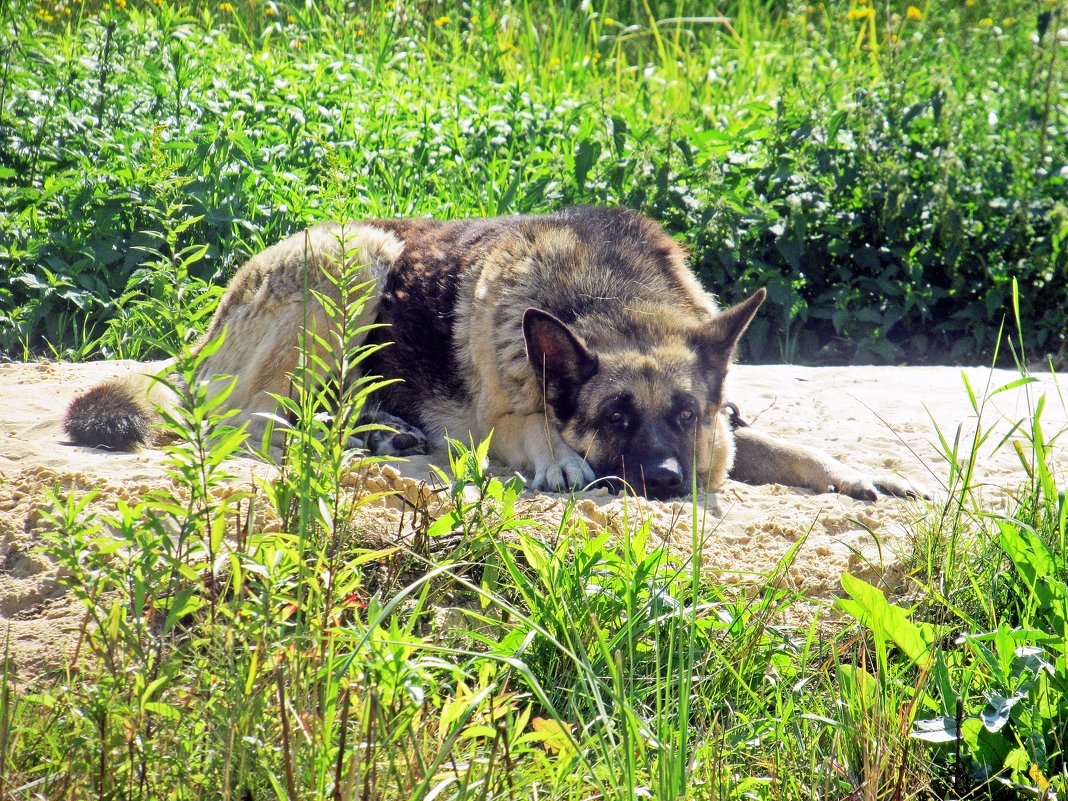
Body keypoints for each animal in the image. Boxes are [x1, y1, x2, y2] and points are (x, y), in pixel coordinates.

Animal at [64, 210, 918, 504]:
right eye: (615, 416)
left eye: (682, 415)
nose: (669, 482)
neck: (612, 299)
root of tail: (203, 333)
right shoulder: (500, 422)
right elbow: (534, 426)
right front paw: (562, 462)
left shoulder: (725, 422)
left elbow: (775, 441)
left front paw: (856, 471)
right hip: (357, 257)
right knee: (250, 418)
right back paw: (363, 440)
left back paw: (378, 428)